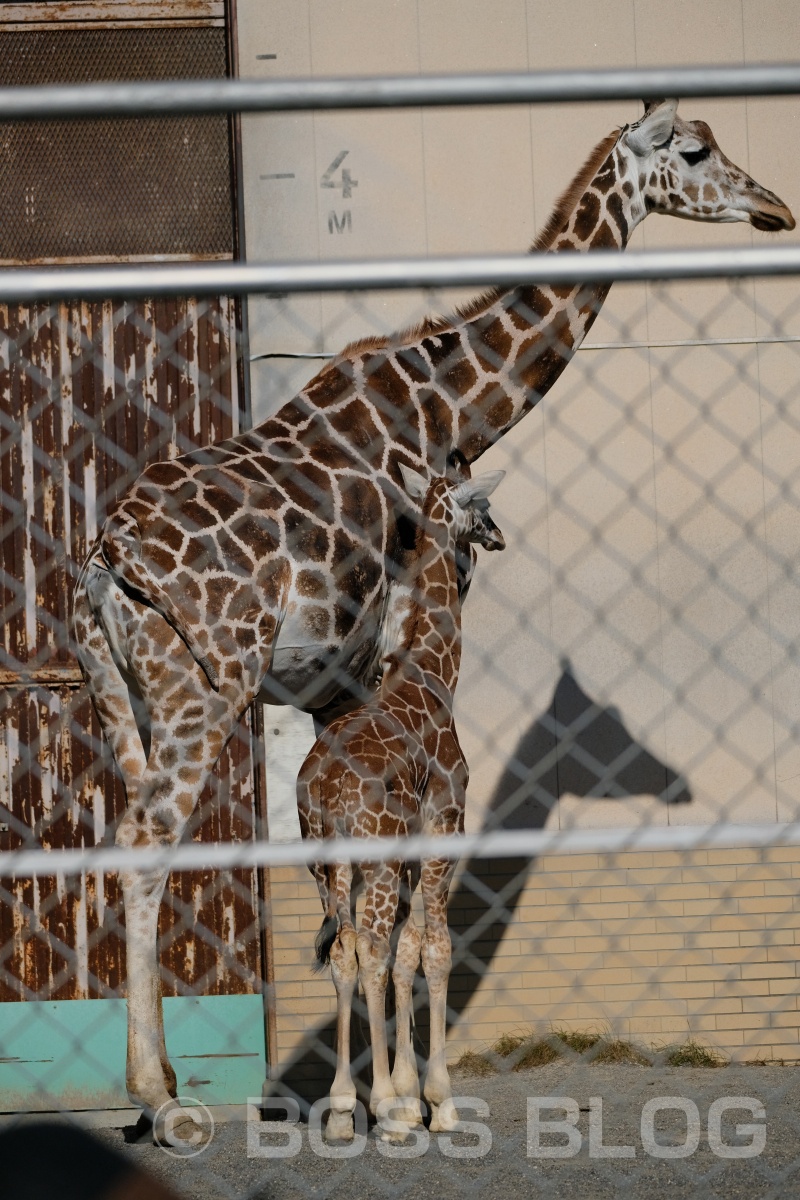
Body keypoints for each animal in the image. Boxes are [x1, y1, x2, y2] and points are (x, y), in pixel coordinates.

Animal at [297, 460, 510, 1142]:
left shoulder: (413, 850)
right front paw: (434, 1102)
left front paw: (409, 1094)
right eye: (481, 505)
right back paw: (380, 1109)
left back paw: (344, 1109)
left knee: (345, 950)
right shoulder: (445, 826)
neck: (433, 673)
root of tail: (324, 788)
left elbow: (407, 953)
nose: (498, 536)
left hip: (324, 862)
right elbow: (436, 950)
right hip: (377, 858)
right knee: (365, 947)